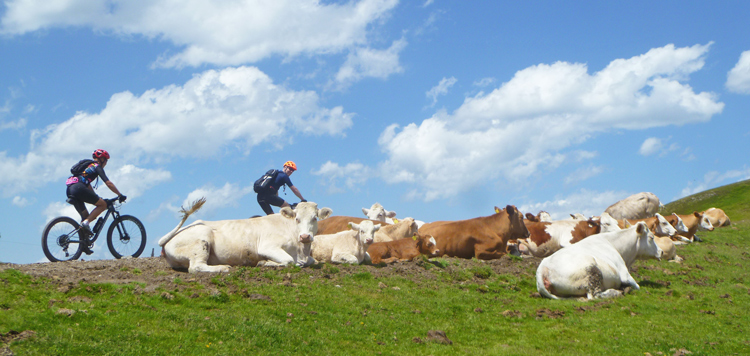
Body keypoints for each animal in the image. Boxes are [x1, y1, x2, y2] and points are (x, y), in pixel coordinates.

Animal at [159, 197, 332, 272]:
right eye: (297, 219)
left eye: (314, 218)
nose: (305, 237)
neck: (301, 250)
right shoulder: (268, 247)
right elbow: (289, 261)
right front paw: (265, 263)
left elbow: (311, 261)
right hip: (202, 238)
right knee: (196, 267)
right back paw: (223, 268)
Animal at [536, 222, 664, 300]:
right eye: (651, 237)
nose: (661, 251)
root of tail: (543, 266)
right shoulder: (625, 274)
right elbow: (637, 286)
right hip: (592, 271)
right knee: (595, 296)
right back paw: (617, 292)